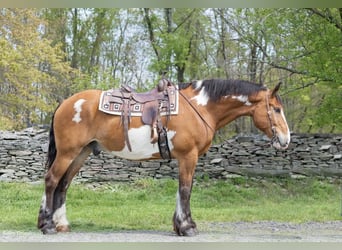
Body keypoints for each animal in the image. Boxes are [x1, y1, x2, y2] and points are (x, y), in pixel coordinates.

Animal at [36, 78, 288, 236]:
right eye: (276, 109)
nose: (285, 139)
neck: (199, 107)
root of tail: (65, 103)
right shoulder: (188, 156)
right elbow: (185, 189)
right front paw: (187, 227)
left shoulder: (185, 158)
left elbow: (182, 189)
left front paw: (180, 225)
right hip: (68, 152)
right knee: (51, 180)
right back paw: (46, 225)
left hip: (81, 152)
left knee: (63, 185)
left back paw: (61, 224)